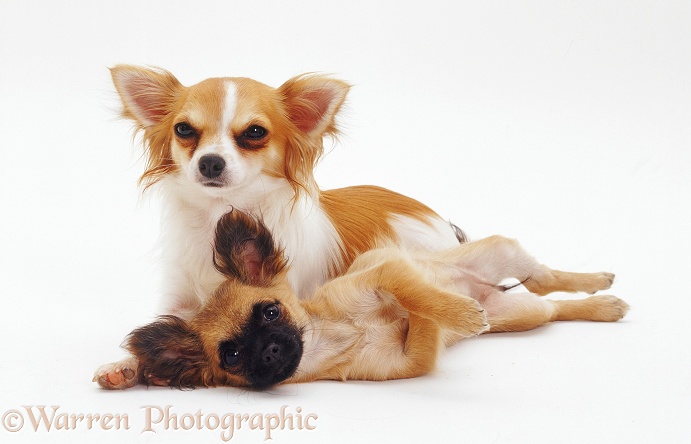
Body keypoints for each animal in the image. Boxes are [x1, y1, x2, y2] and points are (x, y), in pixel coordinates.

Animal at [121, 211, 628, 388]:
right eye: (231, 355)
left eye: (270, 311)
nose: (268, 350)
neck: (337, 334)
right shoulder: (413, 361)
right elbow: (422, 317)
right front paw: (454, 315)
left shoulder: (384, 269)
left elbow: (412, 289)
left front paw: (453, 308)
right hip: (523, 315)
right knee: (551, 304)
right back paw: (601, 305)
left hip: (505, 252)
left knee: (543, 277)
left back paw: (599, 283)